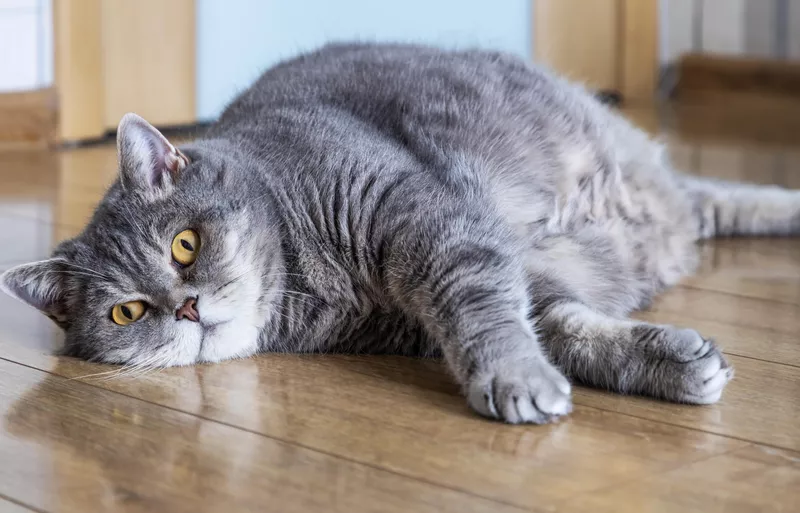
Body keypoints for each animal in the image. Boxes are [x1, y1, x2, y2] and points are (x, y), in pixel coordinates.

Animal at [3, 43, 792, 420]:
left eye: (185, 245)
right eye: (128, 312)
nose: (188, 308)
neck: (312, 279)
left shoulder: (423, 217)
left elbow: (483, 313)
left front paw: (513, 378)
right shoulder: (470, 298)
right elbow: (568, 329)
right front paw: (673, 362)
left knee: (719, 198)